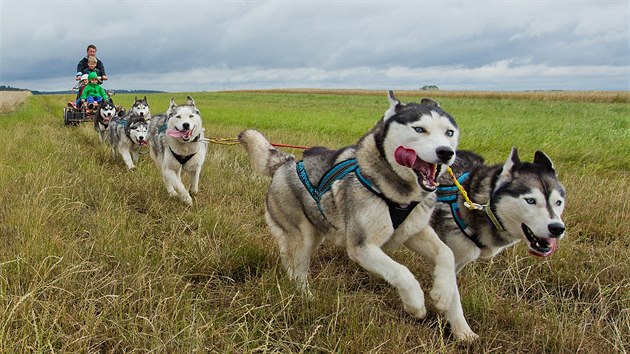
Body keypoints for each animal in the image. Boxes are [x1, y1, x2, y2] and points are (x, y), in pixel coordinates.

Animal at [239, 88, 462, 334]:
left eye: (449, 132)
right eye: (419, 129)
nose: (446, 152)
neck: (399, 195)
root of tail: (285, 162)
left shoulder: (414, 231)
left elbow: (447, 253)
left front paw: (445, 298)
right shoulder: (362, 247)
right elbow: (402, 271)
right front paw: (416, 304)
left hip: (316, 232)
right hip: (302, 237)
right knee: (297, 269)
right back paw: (305, 296)